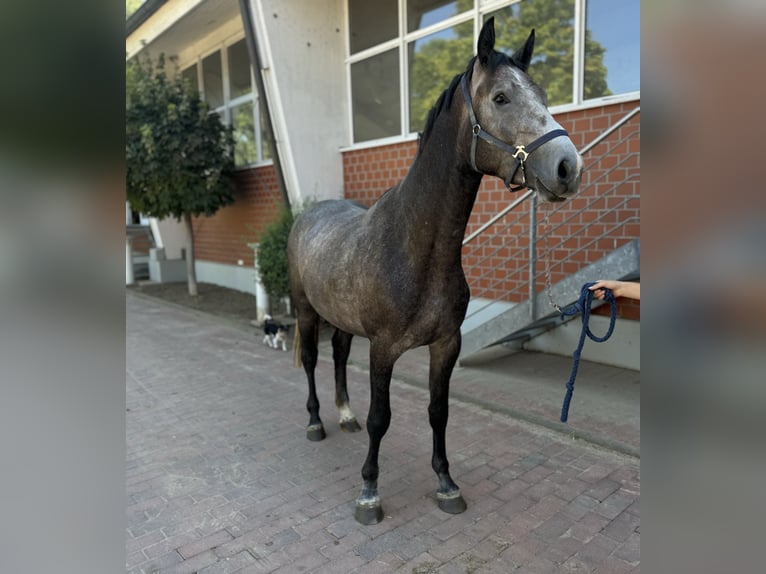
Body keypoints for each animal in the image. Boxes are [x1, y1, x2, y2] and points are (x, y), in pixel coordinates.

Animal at [288, 16, 584, 528]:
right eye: (501, 98)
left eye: (544, 95)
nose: (568, 166)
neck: (416, 249)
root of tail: (309, 214)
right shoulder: (383, 349)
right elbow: (381, 418)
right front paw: (369, 493)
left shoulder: (447, 344)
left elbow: (438, 411)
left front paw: (446, 484)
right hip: (307, 312)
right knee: (311, 361)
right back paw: (315, 422)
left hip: (341, 320)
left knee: (339, 357)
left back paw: (343, 415)